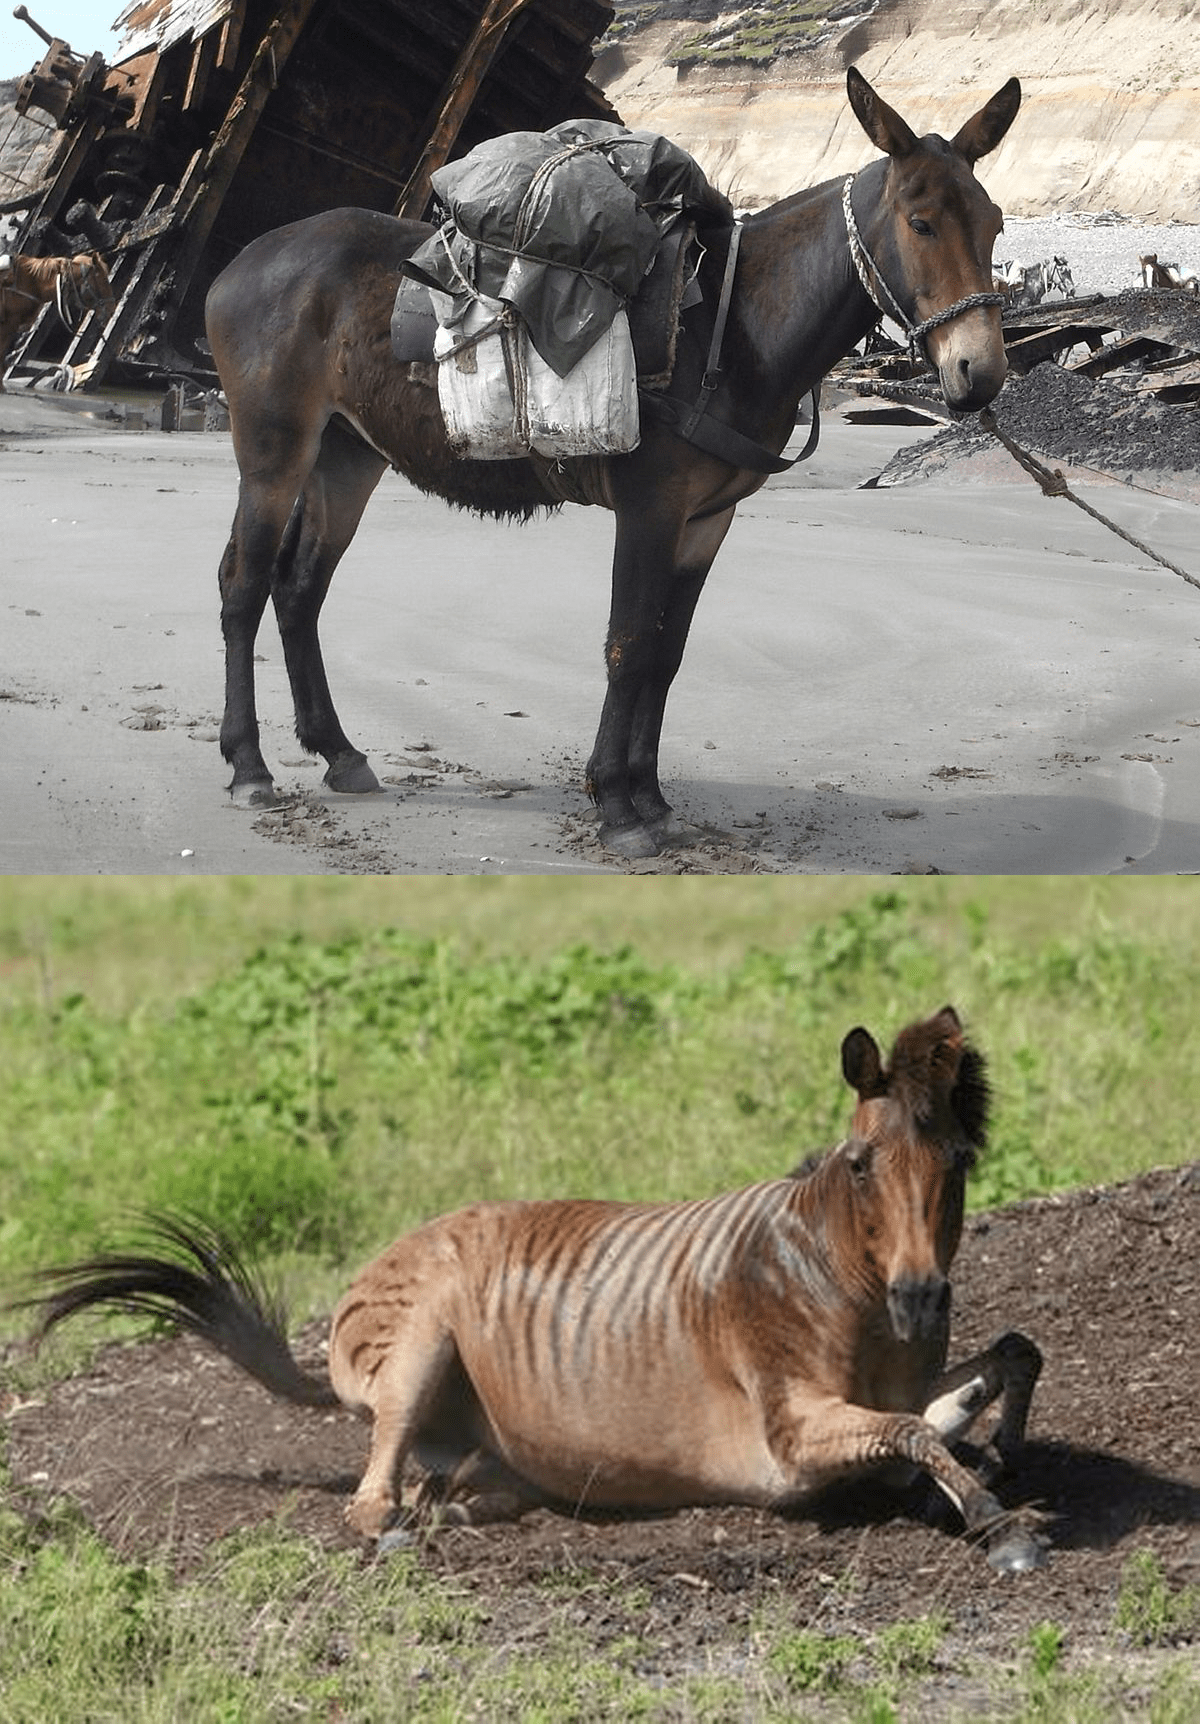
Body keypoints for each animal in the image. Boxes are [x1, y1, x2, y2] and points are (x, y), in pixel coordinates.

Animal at [23, 1006, 1048, 1572]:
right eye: (863, 1164)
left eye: (959, 1160)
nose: (920, 1300)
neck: (834, 1277)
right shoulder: (791, 1433)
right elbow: (915, 1430)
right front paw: (997, 1518)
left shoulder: (893, 1381)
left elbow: (1004, 1358)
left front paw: (994, 1455)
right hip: (420, 1343)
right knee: (371, 1505)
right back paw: (410, 1532)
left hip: (493, 1443)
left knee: (447, 1489)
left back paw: (459, 1513)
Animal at [208, 68, 1020, 862]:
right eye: (921, 223)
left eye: (995, 224)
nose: (979, 374)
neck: (732, 328)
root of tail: (242, 261)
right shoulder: (650, 509)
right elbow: (628, 646)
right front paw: (617, 807)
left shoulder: (707, 519)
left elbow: (666, 654)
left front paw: (652, 798)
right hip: (275, 452)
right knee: (244, 585)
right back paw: (249, 767)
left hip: (348, 455)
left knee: (300, 588)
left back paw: (338, 752)